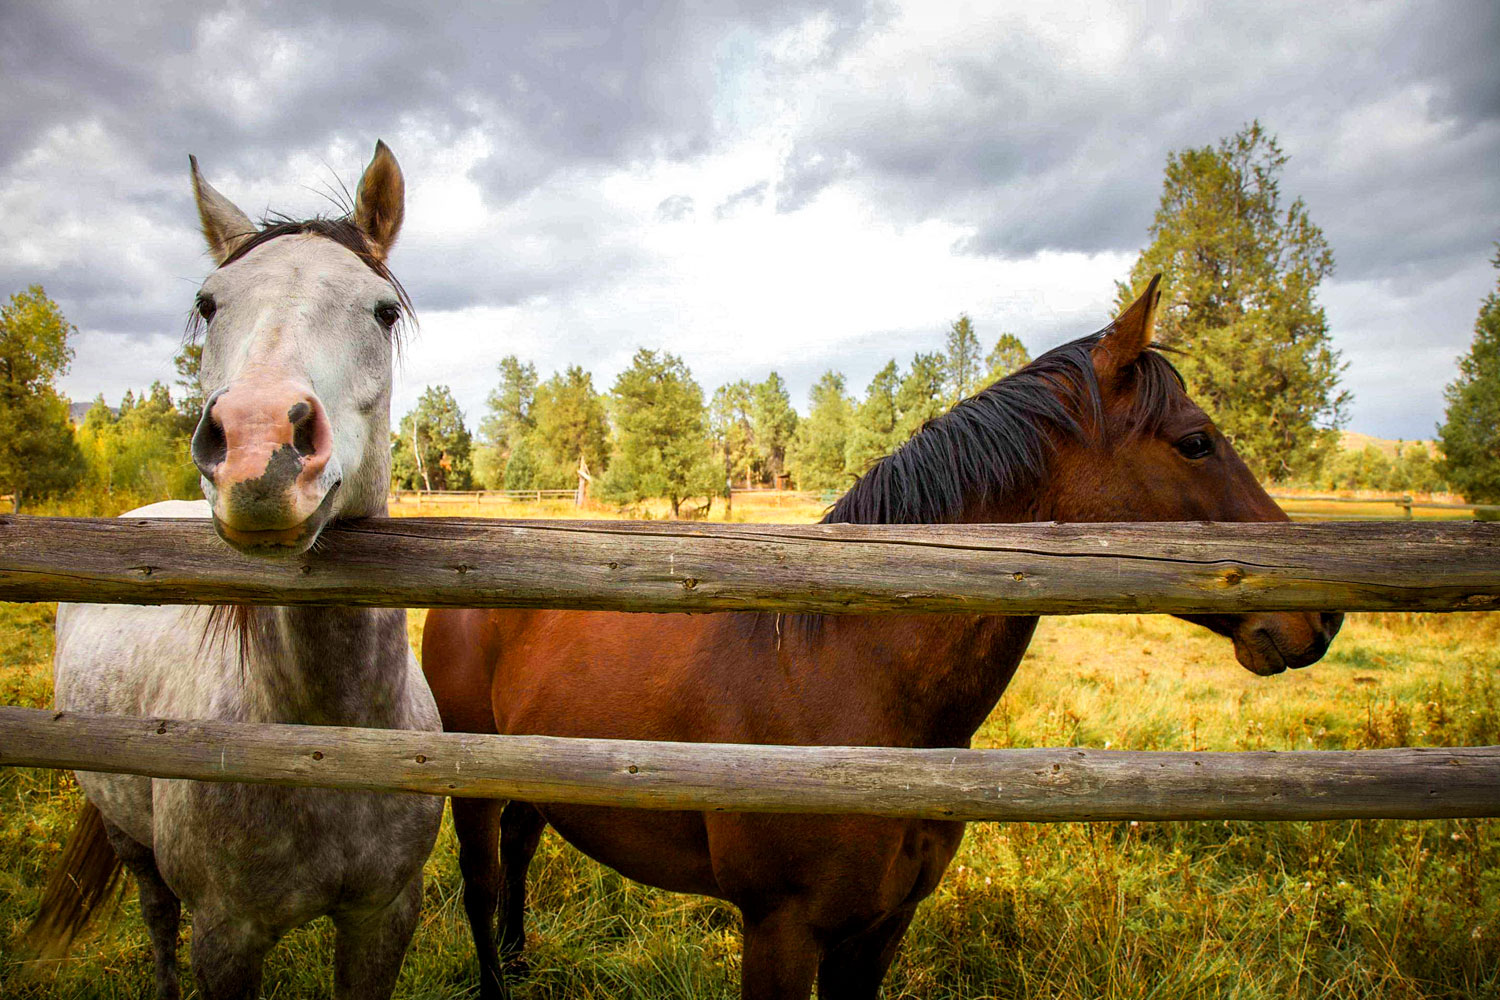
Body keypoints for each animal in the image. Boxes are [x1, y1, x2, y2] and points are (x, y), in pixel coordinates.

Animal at [29, 142, 441, 1000]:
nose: (258, 445)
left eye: (383, 311)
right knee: (155, 915)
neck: (323, 738)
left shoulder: (386, 916)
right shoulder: (226, 936)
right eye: (209, 303)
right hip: (125, 832)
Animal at [420, 280, 1338, 1000]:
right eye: (1196, 441)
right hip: (471, 786)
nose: (1321, 617)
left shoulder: (882, 928)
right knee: (482, 886)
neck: (856, 686)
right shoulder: (781, 931)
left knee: (520, 857)